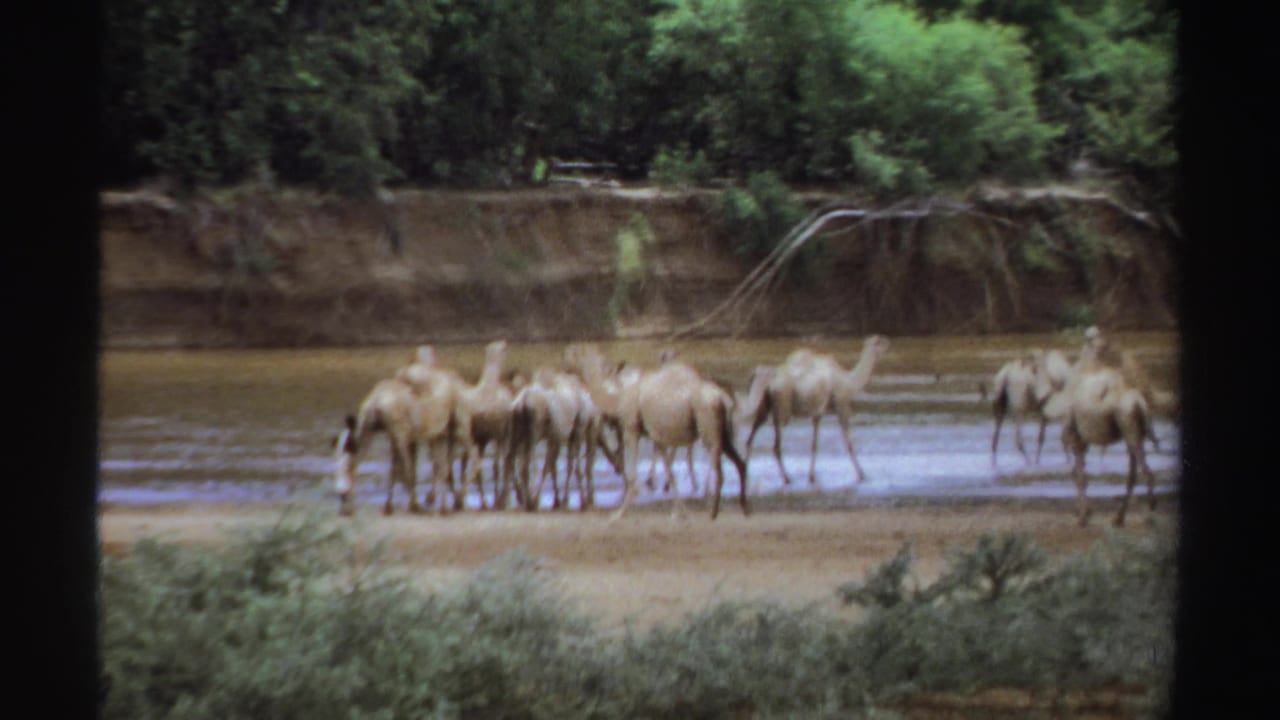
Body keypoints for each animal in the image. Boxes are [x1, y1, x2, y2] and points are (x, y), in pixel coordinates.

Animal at [613, 359, 748, 521]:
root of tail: (723, 399)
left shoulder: (631, 429)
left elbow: (633, 475)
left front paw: (619, 514)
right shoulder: (657, 439)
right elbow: (670, 473)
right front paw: (679, 512)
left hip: (709, 432)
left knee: (719, 471)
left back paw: (713, 512)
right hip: (724, 436)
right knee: (740, 464)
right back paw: (745, 509)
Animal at [741, 335, 891, 486]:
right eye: (880, 341)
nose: (889, 345)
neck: (849, 381)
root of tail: (768, 383)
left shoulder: (817, 412)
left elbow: (814, 445)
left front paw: (811, 477)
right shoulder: (841, 405)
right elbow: (848, 444)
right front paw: (862, 475)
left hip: (764, 405)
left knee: (750, 438)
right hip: (782, 404)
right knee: (776, 445)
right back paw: (787, 479)